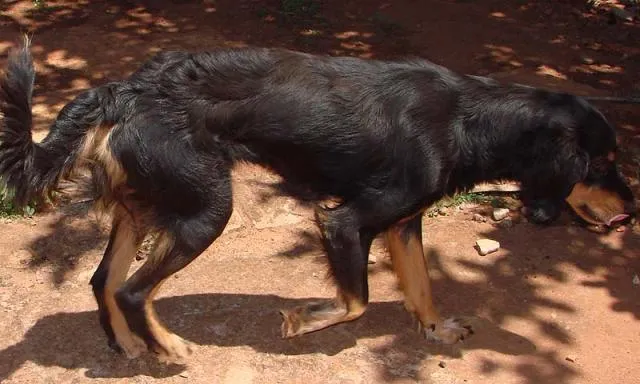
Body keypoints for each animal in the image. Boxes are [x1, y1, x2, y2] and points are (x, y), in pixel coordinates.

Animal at [0, 42, 636, 364]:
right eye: (602, 163)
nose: (631, 209)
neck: (468, 120)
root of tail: (125, 89)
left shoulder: (405, 224)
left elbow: (423, 287)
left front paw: (435, 330)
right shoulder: (345, 222)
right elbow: (356, 302)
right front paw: (304, 320)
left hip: (149, 204)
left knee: (103, 281)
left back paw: (131, 345)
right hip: (206, 209)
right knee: (133, 290)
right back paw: (169, 348)